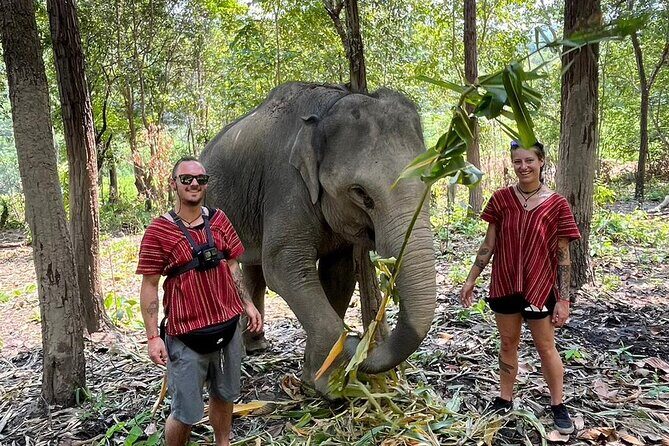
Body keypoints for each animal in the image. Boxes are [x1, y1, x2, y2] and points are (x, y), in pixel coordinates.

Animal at [200, 82, 437, 396]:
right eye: (361, 193)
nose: (359, 341)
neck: (329, 106)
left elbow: (338, 273)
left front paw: (315, 377)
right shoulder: (286, 184)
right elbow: (283, 267)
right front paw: (332, 386)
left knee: (253, 268)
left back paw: (257, 346)